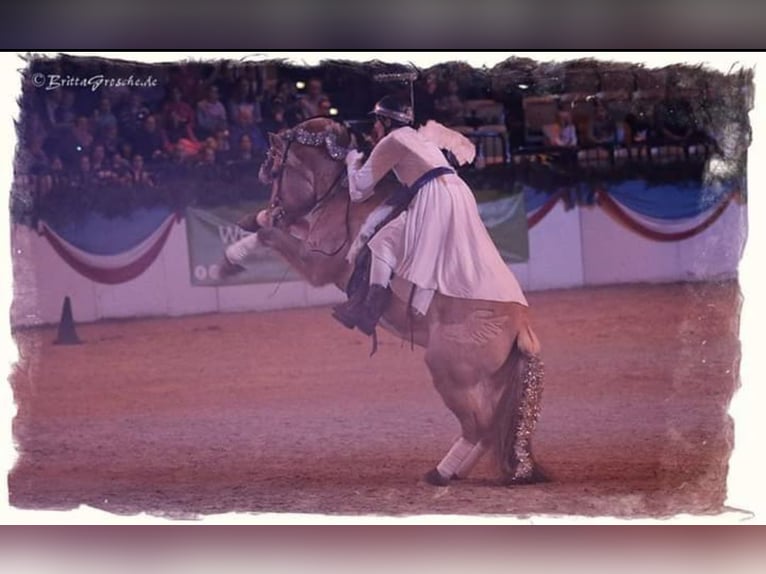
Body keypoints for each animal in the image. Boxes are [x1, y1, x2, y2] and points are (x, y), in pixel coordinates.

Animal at [246, 117, 544, 486]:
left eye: (276, 167)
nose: (275, 208)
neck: (343, 201)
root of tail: (521, 329)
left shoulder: (317, 264)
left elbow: (272, 236)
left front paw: (248, 236)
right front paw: (256, 222)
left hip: (449, 373)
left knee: (478, 428)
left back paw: (440, 473)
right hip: (486, 383)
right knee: (488, 430)